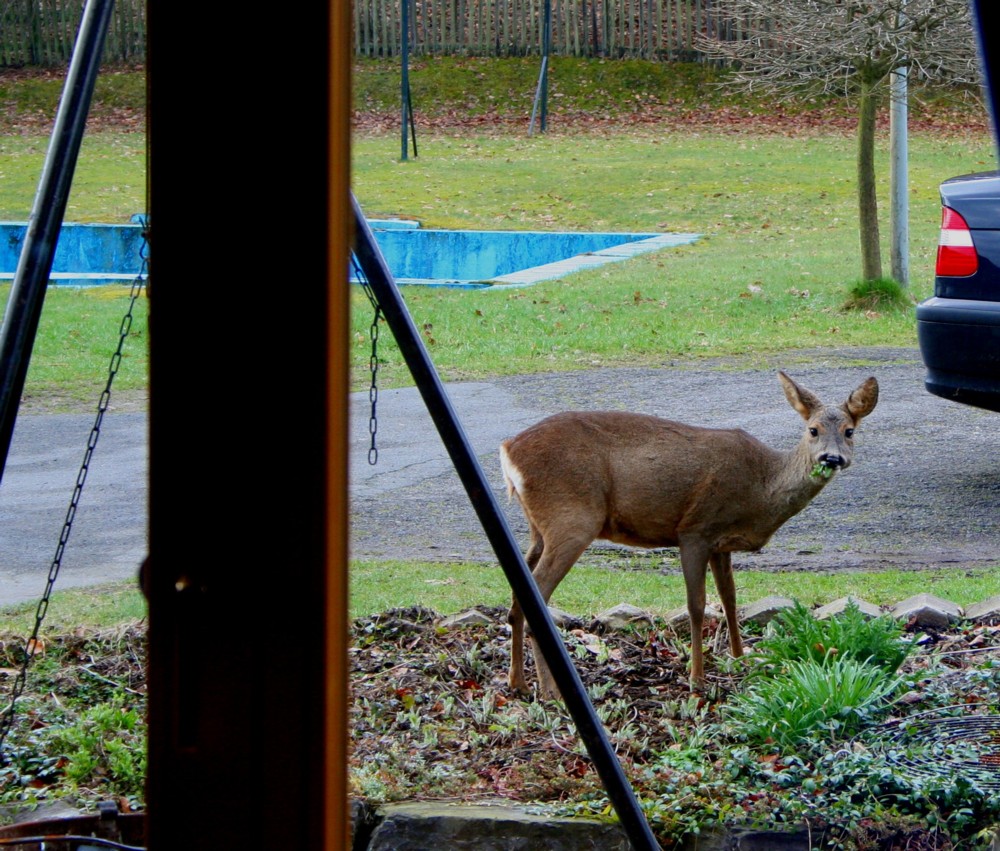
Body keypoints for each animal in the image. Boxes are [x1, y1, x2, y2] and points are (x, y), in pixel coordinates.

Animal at [498, 372, 876, 700]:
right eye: (813, 430)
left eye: (849, 431)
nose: (831, 458)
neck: (760, 487)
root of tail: (508, 449)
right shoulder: (696, 529)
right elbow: (697, 605)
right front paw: (697, 678)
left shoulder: (721, 543)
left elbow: (729, 599)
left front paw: (740, 657)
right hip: (572, 518)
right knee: (538, 593)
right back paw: (550, 691)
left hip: (539, 528)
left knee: (518, 594)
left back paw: (518, 683)